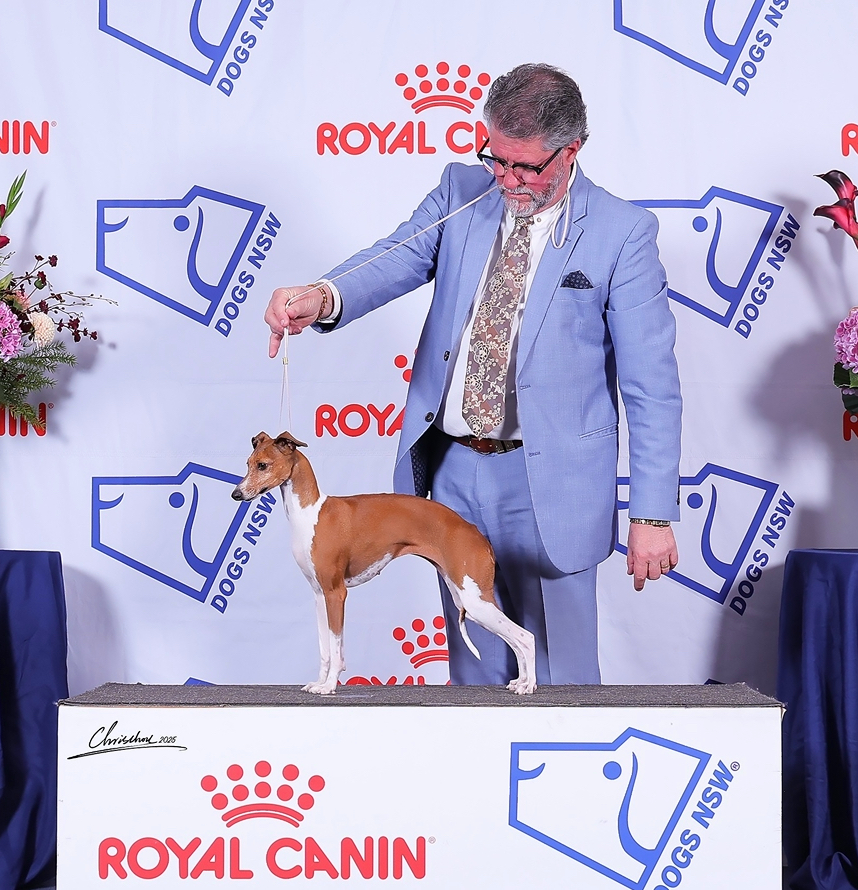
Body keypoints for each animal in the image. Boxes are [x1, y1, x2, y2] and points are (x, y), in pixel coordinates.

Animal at [232, 431, 536, 694]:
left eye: (263, 465)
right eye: (248, 464)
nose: (236, 494)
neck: (311, 513)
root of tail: (475, 532)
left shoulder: (336, 593)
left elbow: (336, 646)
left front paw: (329, 686)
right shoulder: (319, 595)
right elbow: (324, 649)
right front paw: (319, 682)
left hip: (475, 601)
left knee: (526, 638)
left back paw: (529, 685)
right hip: (469, 600)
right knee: (515, 641)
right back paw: (519, 682)